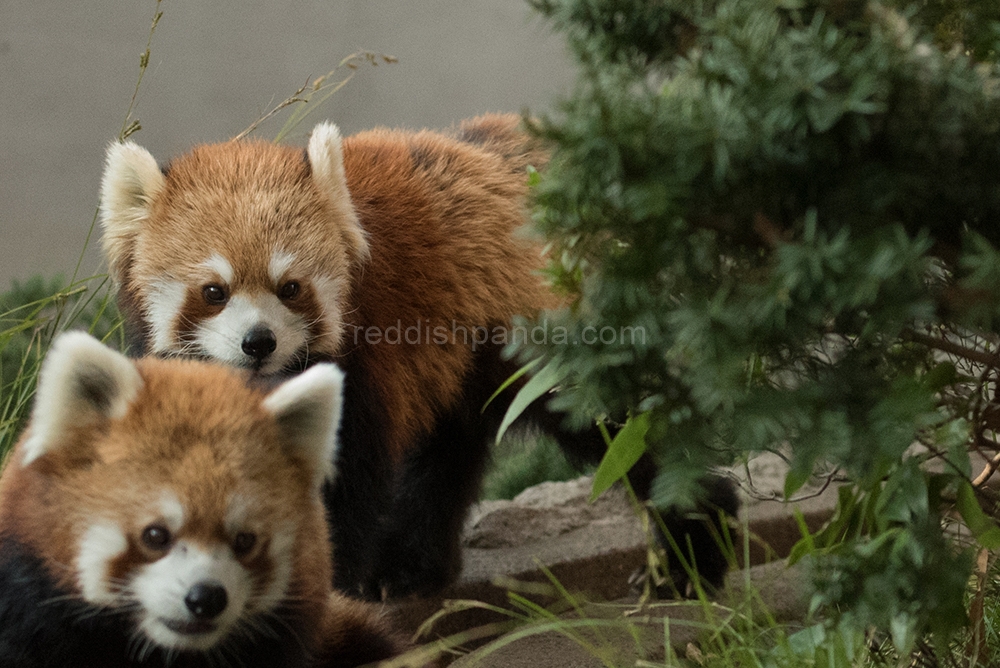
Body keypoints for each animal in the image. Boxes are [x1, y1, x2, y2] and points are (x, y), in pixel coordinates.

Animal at [99, 113, 744, 600]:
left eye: (291, 287)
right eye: (214, 291)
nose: (259, 343)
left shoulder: (360, 368)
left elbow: (341, 489)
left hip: (542, 333)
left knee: (615, 426)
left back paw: (692, 552)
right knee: (444, 456)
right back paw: (411, 569)